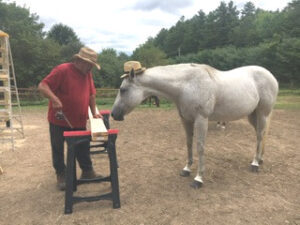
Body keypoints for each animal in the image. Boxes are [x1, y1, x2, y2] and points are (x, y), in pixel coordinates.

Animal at [112, 63, 278, 188]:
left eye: (123, 89)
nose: (113, 114)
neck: (186, 85)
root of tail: (271, 75)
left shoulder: (201, 119)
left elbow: (200, 147)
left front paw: (198, 179)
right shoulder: (186, 120)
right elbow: (189, 143)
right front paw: (186, 169)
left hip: (262, 113)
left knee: (260, 135)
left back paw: (255, 164)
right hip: (253, 115)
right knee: (261, 135)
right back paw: (260, 159)